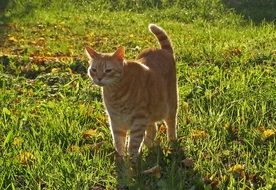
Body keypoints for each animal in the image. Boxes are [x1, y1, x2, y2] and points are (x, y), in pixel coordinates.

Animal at [85, 23, 178, 160]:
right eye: (94, 70)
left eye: (108, 70)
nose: (99, 78)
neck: (115, 92)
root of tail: (163, 50)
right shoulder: (115, 120)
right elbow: (118, 141)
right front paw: (120, 157)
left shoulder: (139, 120)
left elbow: (133, 143)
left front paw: (132, 159)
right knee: (153, 128)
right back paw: (149, 145)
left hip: (170, 106)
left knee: (170, 124)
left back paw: (172, 141)